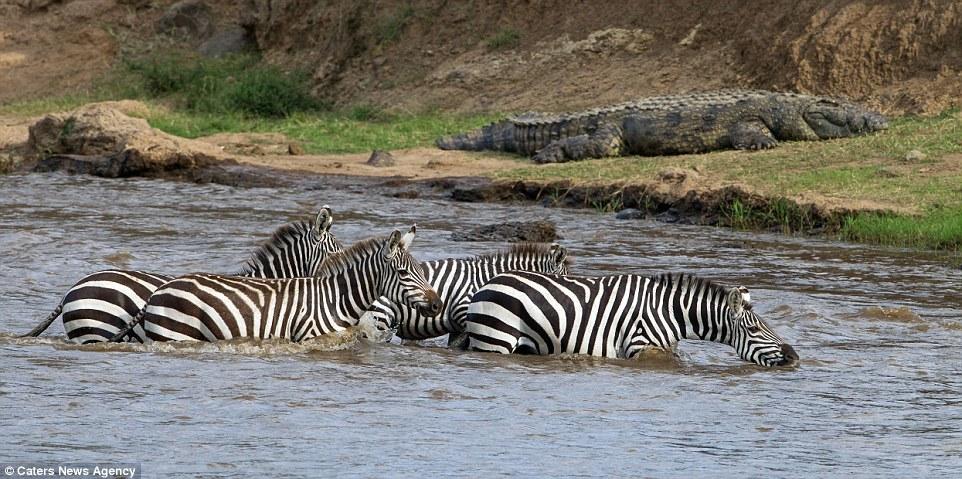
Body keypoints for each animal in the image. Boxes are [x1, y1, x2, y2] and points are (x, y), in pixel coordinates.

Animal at [110, 227, 440, 344]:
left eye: (420, 271)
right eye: (403, 273)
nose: (437, 304)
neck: (335, 299)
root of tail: (159, 291)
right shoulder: (308, 339)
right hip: (173, 335)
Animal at [462, 270, 800, 368]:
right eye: (755, 328)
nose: (795, 357)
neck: (670, 312)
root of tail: (487, 284)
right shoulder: (639, 346)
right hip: (495, 341)